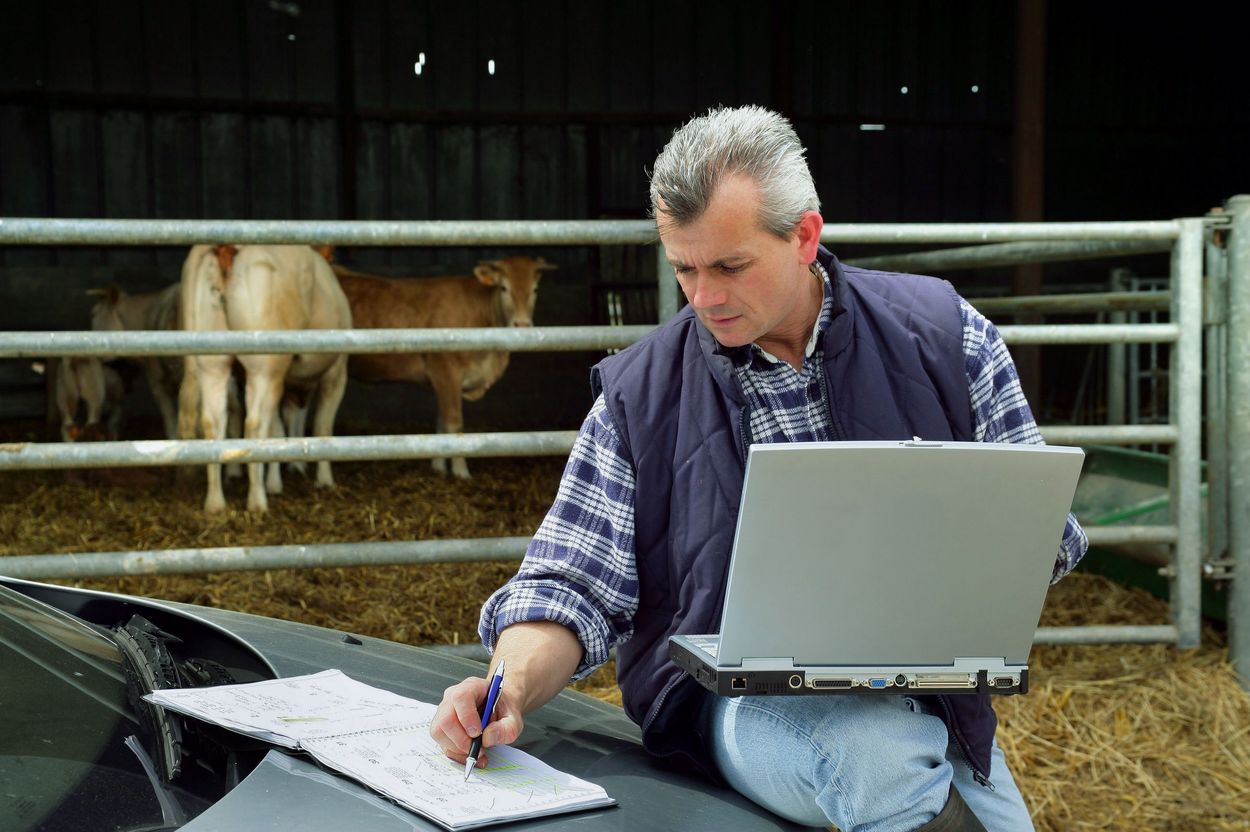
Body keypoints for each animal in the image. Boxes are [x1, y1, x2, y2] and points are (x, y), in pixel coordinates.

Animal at [178, 241, 352, 512]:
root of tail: (226, 248)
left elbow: (282, 425)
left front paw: (281, 477)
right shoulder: (337, 369)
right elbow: (322, 425)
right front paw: (324, 480)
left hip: (213, 364)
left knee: (213, 423)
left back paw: (216, 503)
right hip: (264, 367)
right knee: (255, 424)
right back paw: (257, 501)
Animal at [332, 252, 552, 477]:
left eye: (535, 289)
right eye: (503, 288)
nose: (522, 324)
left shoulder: (442, 379)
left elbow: (441, 423)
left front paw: (438, 467)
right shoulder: (446, 371)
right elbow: (454, 423)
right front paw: (461, 472)